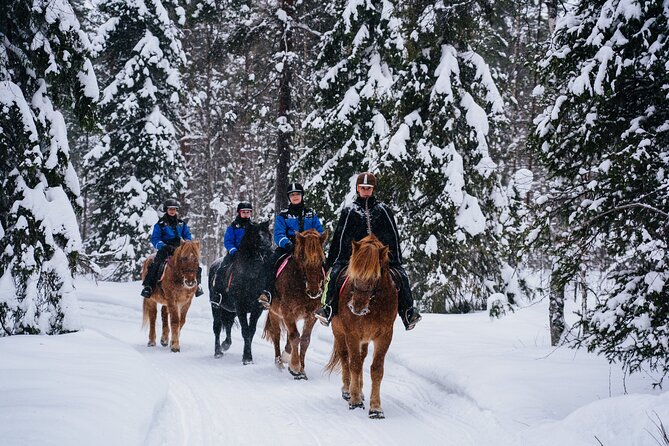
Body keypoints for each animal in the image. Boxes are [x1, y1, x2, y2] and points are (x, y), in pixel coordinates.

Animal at [209, 221, 272, 364]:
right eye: (258, 236)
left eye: (269, 235)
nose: (271, 252)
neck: (250, 276)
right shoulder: (240, 307)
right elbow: (245, 331)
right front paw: (247, 357)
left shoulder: (256, 308)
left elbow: (251, 331)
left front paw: (247, 356)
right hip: (216, 305)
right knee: (217, 327)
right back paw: (217, 351)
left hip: (230, 310)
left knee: (228, 325)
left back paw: (225, 344)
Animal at [264, 230, 332, 380]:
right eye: (303, 258)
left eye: (322, 259)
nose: (314, 291)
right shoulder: (287, 312)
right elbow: (295, 336)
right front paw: (295, 367)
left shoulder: (311, 315)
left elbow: (305, 340)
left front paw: (302, 370)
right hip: (274, 313)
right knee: (277, 334)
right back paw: (279, 362)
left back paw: (286, 356)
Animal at [324, 235, 396, 420]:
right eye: (353, 273)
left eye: (375, 275)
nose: (356, 307)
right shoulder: (352, 334)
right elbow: (354, 364)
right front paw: (355, 400)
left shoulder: (384, 336)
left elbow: (376, 369)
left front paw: (376, 408)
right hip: (339, 331)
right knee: (345, 357)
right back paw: (347, 390)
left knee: (362, 357)